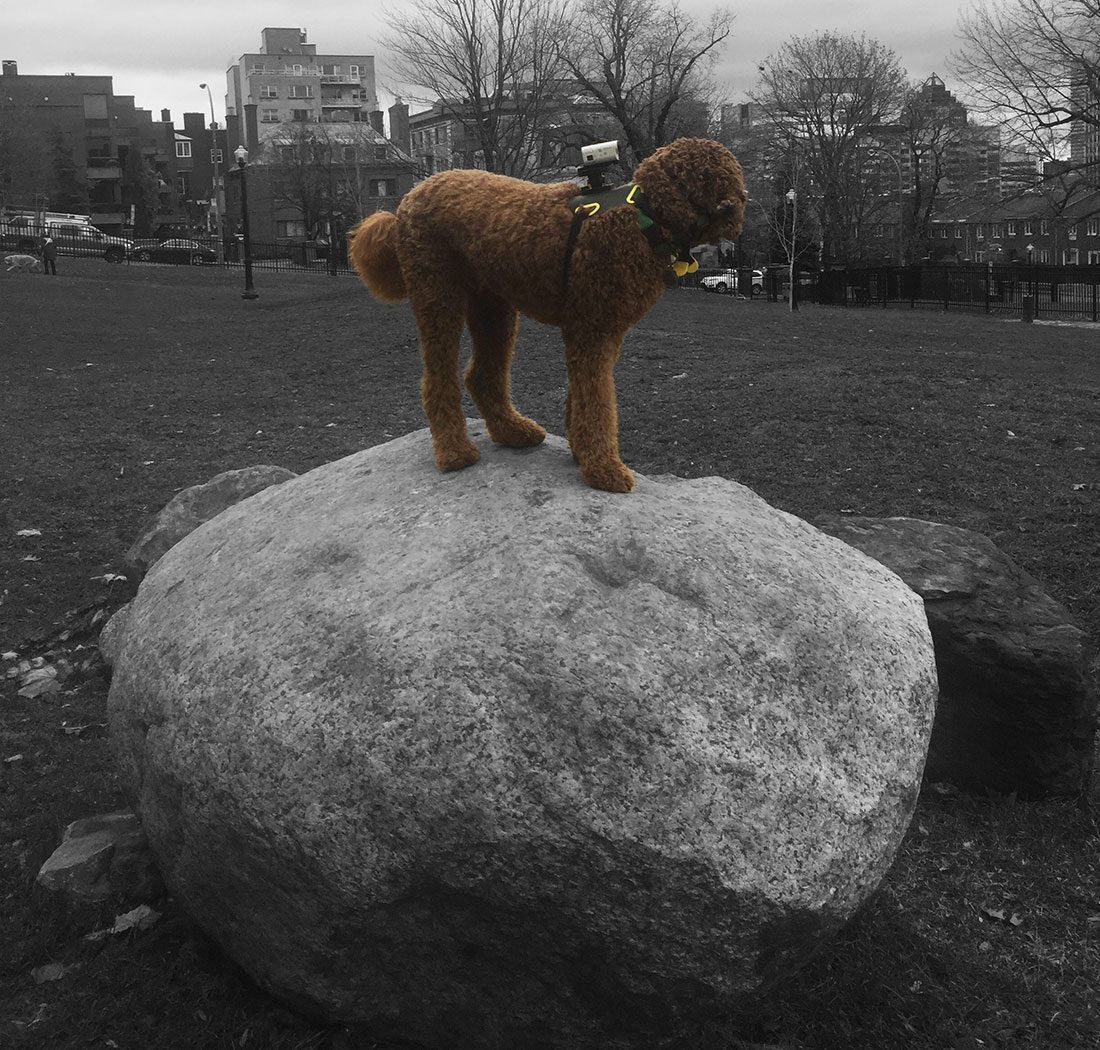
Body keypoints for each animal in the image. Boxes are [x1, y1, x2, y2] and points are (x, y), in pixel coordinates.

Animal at [352, 137, 748, 494]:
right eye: (718, 178)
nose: (740, 203)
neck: (644, 215)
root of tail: (408, 200)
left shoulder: (603, 333)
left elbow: (583, 397)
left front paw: (581, 450)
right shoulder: (591, 330)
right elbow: (598, 402)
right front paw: (604, 468)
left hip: (493, 306)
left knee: (482, 376)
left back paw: (513, 432)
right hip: (438, 295)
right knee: (438, 378)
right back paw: (454, 452)